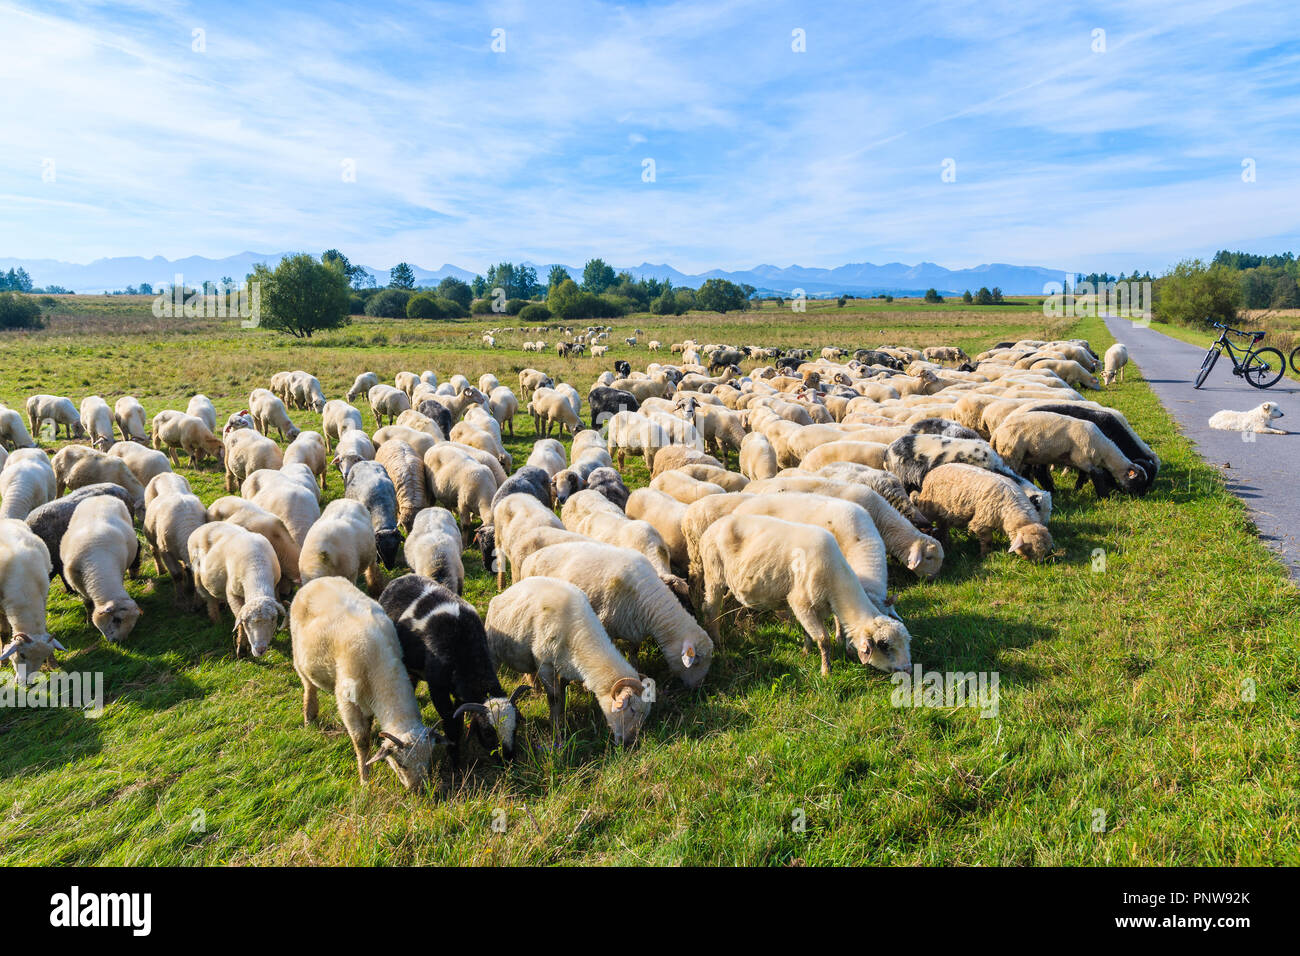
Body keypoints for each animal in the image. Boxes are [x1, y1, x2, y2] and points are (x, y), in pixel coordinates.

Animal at [60, 494, 142, 642]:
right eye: (116, 620)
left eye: (132, 625)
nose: (117, 642)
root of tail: (100, 496)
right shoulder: (77, 584)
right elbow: (87, 604)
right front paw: (88, 620)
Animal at [291, 574, 441, 790]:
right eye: (401, 763)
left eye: (428, 759)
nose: (418, 789)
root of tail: (318, 580)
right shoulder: (347, 701)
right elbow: (361, 740)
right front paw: (365, 778)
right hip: (299, 657)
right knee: (308, 687)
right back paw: (309, 717)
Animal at [379, 572, 530, 764]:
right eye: (488, 732)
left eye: (515, 727)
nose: (508, 759)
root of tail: (401, 578)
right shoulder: (438, 689)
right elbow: (450, 724)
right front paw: (454, 760)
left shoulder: (460, 692)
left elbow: (458, 721)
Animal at [696, 515, 909, 671]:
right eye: (884, 646)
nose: (907, 669)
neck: (835, 580)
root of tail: (711, 527)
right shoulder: (800, 602)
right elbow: (823, 640)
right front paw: (826, 672)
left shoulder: (813, 607)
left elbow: (808, 633)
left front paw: (806, 652)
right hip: (714, 573)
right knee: (710, 609)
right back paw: (717, 640)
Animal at [915, 463, 1055, 561]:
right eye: (1029, 548)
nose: (1038, 564)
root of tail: (933, 471)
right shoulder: (981, 521)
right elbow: (987, 540)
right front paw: (985, 555)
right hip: (928, 507)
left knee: (943, 525)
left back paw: (946, 543)